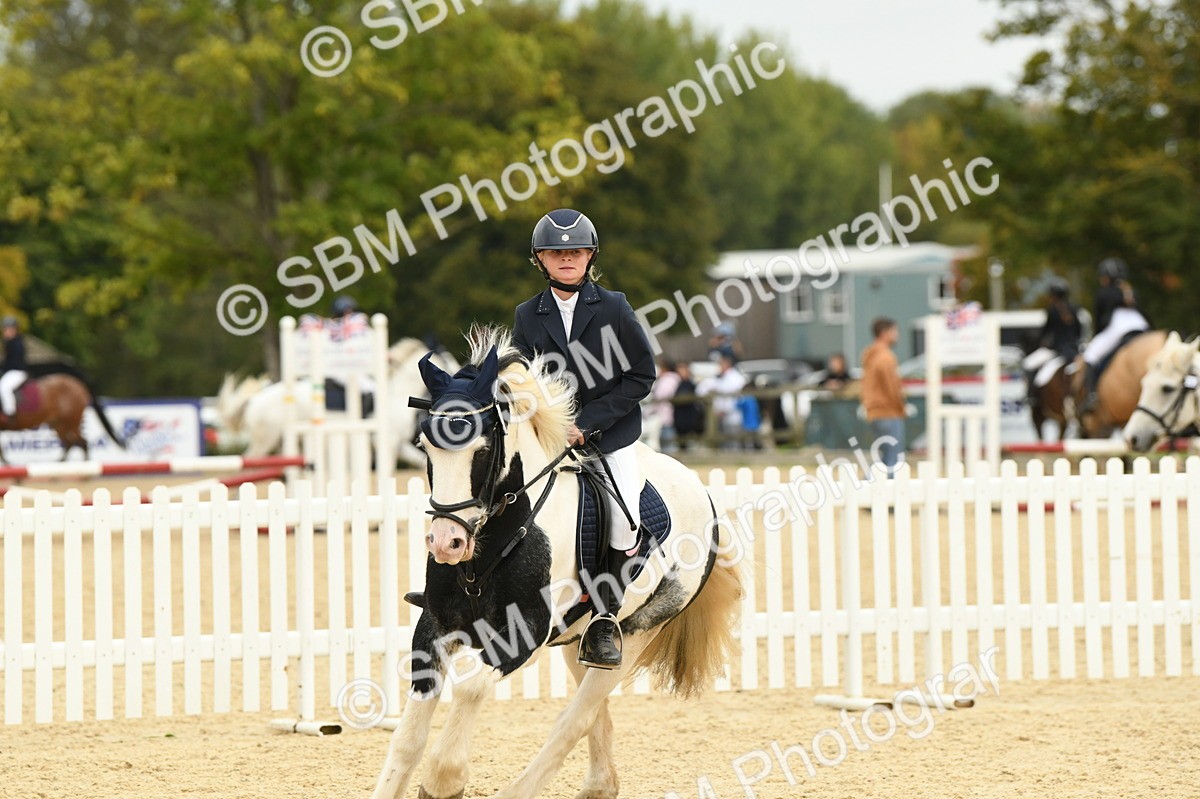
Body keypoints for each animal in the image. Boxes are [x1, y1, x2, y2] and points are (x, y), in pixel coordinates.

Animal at [371, 325, 743, 799]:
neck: (495, 539)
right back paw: (600, 786)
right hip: (579, 639)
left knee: (573, 721)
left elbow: (471, 688)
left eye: (483, 449)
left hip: (637, 630)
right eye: (424, 447)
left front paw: (444, 778)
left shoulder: (522, 632)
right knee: (593, 714)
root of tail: (701, 489)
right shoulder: (435, 623)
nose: (447, 543)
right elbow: (407, 740)